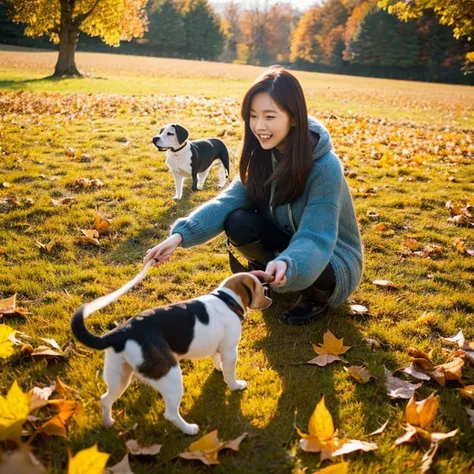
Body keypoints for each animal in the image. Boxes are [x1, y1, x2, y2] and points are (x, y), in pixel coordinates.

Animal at [70, 272, 270, 436]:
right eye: (261, 290)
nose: (270, 297)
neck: (227, 300)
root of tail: (121, 333)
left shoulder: (219, 346)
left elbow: (217, 360)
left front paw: (218, 369)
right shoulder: (230, 350)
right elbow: (230, 373)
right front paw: (235, 385)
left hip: (119, 377)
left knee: (105, 400)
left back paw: (108, 423)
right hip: (171, 377)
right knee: (171, 414)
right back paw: (189, 429)